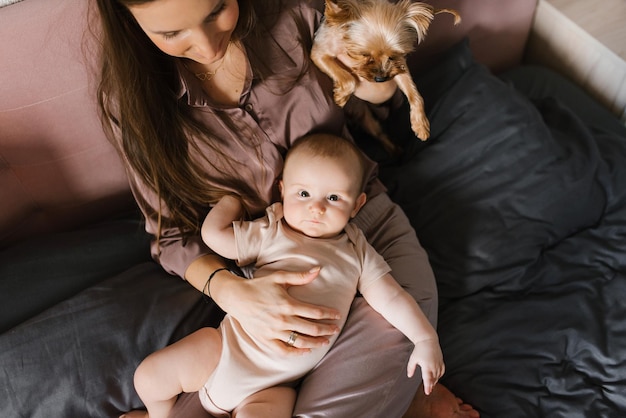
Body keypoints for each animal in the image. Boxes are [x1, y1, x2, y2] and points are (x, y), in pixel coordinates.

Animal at [310, 0, 458, 153]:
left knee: (378, 133)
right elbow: (350, 79)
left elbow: (414, 94)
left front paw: (420, 124)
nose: (380, 79)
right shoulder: (319, 53)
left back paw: (395, 149)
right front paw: (341, 96)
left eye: (392, 56)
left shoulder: (399, 66)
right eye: (363, 54)